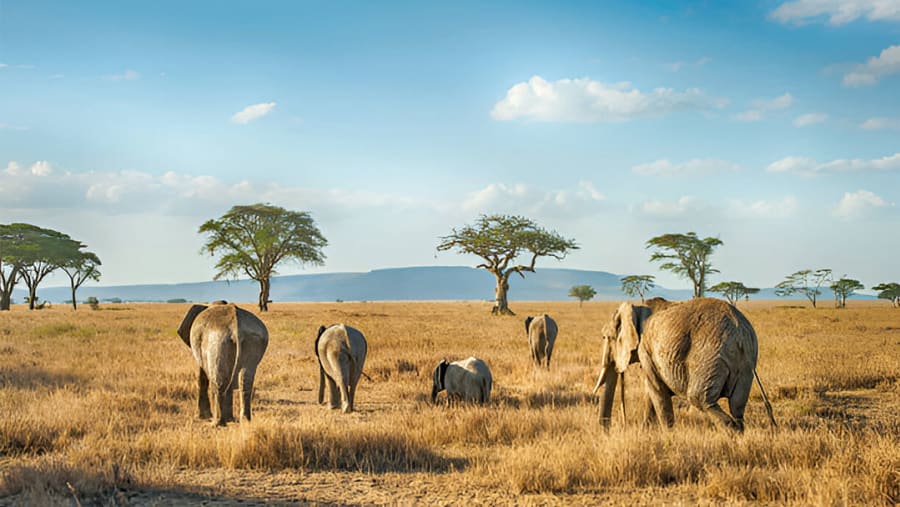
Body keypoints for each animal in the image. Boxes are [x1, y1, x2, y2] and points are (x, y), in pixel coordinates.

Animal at [592, 297, 775, 432]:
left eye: (606, 337)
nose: (607, 432)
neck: (637, 307)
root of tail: (741, 333)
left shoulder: (646, 349)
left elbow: (656, 390)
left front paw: (668, 436)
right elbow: (652, 393)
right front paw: (647, 432)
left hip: (710, 355)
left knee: (699, 398)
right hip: (746, 364)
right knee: (737, 405)